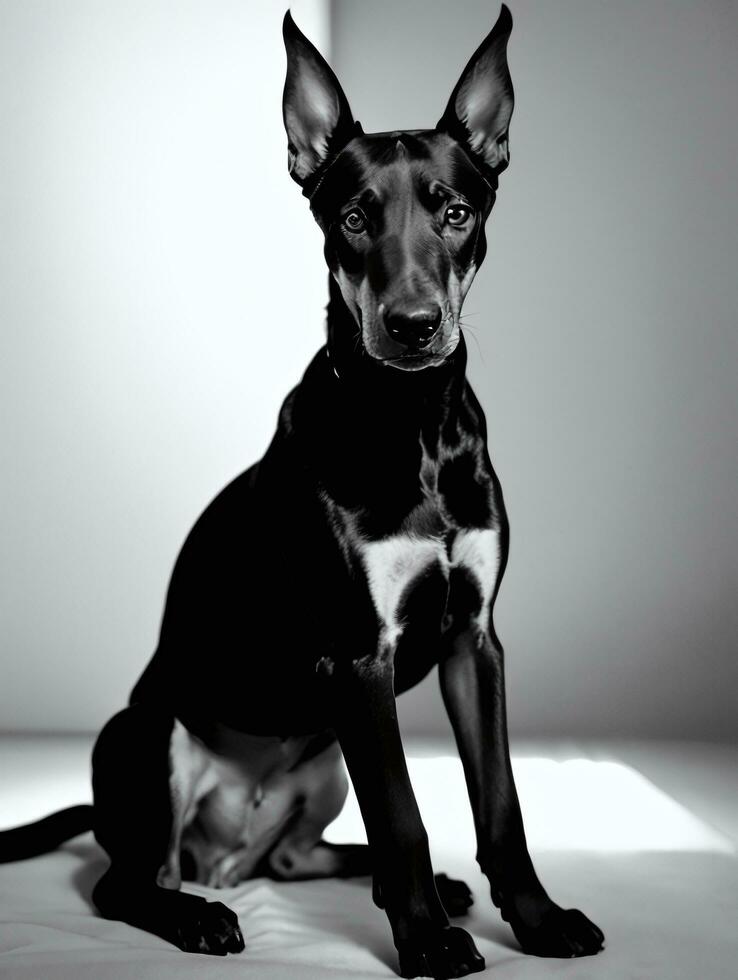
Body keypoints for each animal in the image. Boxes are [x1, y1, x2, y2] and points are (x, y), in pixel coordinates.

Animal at [0, 9, 600, 980]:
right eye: (353, 218)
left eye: (456, 212)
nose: (412, 327)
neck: (414, 426)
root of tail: (220, 857)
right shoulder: (358, 656)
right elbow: (403, 814)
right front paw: (428, 943)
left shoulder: (475, 642)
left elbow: (499, 805)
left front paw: (538, 921)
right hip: (147, 734)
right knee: (126, 882)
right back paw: (201, 916)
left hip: (319, 761)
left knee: (287, 858)